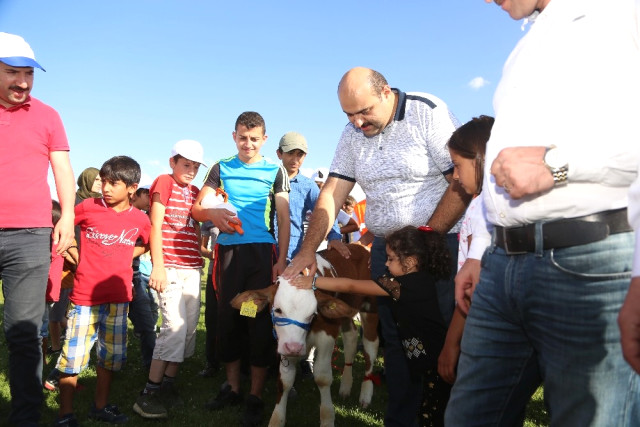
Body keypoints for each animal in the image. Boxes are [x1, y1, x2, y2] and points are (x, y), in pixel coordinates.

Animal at [231, 244, 378, 427]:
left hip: (370, 308)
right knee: (351, 336)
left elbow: (322, 377)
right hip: (345, 313)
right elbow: (285, 380)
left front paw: (327, 418)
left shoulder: (327, 334)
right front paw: (276, 420)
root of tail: (358, 247)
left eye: (312, 314)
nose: (294, 348)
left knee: (370, 347)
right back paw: (345, 386)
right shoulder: (285, 342)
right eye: (277, 310)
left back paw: (366, 393)